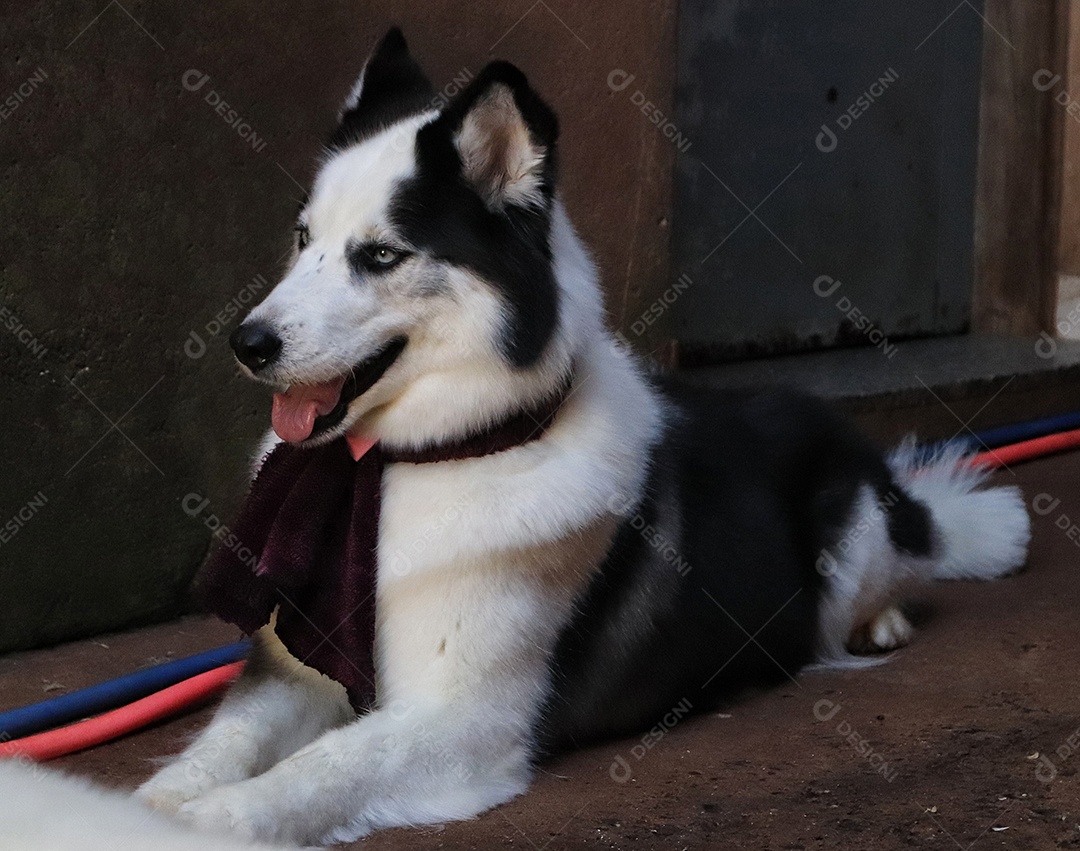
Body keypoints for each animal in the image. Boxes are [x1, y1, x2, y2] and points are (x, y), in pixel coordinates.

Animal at [2, 29, 1028, 846]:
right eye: (301, 239)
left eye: (381, 255)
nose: (245, 344)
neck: (414, 460)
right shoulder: (289, 669)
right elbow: (223, 746)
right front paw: (146, 801)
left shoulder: (465, 721)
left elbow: (316, 770)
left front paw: (198, 824)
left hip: (850, 533)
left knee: (890, 573)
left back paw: (881, 618)